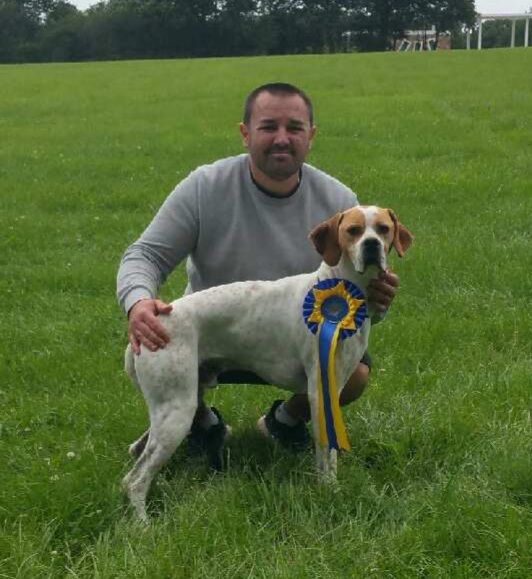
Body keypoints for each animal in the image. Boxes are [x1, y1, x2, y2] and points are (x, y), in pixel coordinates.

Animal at [122, 207, 414, 520]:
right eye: (353, 230)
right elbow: (327, 450)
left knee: (139, 452)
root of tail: (146, 326)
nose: (371, 246)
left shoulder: (333, 387)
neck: (343, 287)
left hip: (174, 405)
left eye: (383, 229)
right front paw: (330, 491)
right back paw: (144, 524)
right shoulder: (320, 390)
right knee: (135, 479)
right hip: (177, 410)